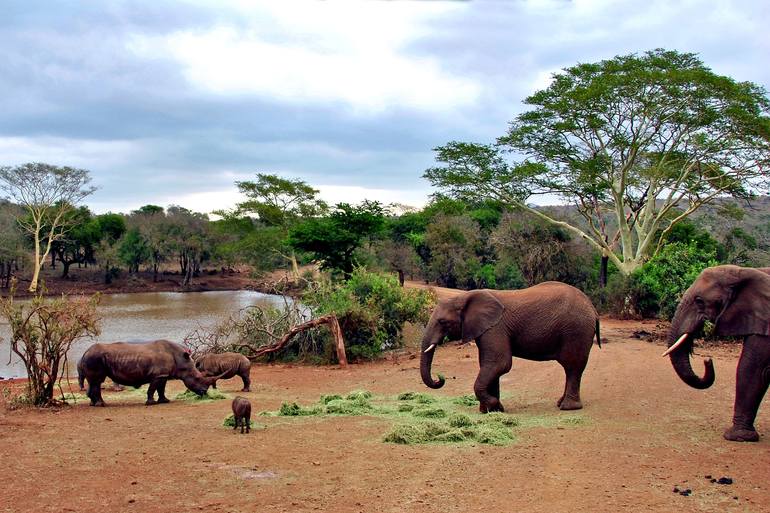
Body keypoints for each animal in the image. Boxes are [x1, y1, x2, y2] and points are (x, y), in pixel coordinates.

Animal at [78, 338, 220, 406]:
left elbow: (161, 389)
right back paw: (102, 405)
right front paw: (151, 403)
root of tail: (85, 352)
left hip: (91, 358)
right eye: (197, 378)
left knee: (93, 382)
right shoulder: (158, 375)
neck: (180, 359)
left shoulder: (163, 375)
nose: (204, 392)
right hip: (94, 358)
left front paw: (165, 401)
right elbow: (152, 389)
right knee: (97, 381)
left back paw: (92, 404)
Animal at [416, 282, 596, 414]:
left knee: (572, 366)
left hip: (576, 331)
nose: (440, 378)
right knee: (571, 369)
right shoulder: (486, 330)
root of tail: (592, 307)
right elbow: (489, 365)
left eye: (442, 322)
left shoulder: (495, 328)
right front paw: (492, 411)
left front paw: (493, 405)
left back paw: (568, 408)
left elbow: (500, 364)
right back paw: (560, 403)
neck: (465, 296)